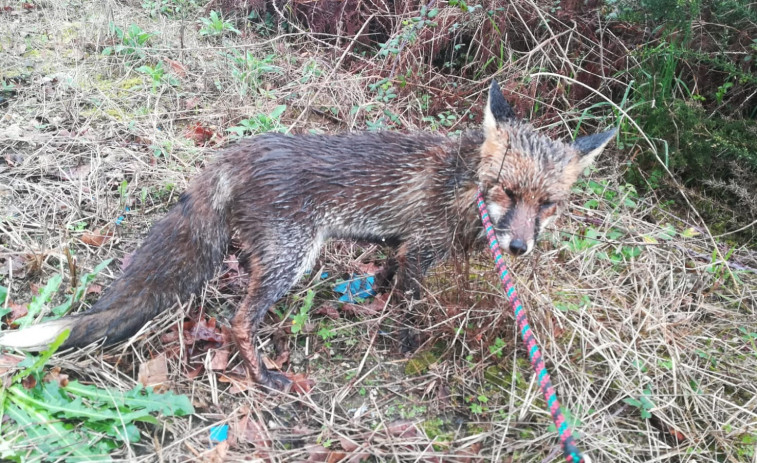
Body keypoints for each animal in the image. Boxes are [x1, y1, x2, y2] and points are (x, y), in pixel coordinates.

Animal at [0, 80, 616, 392]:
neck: (462, 189)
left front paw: (373, 295)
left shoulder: (403, 245)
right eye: (506, 192)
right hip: (293, 257)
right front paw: (408, 344)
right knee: (238, 320)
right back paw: (263, 376)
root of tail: (236, 153)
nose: (518, 248)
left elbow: (387, 274)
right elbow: (412, 308)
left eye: (548, 205)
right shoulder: (423, 250)